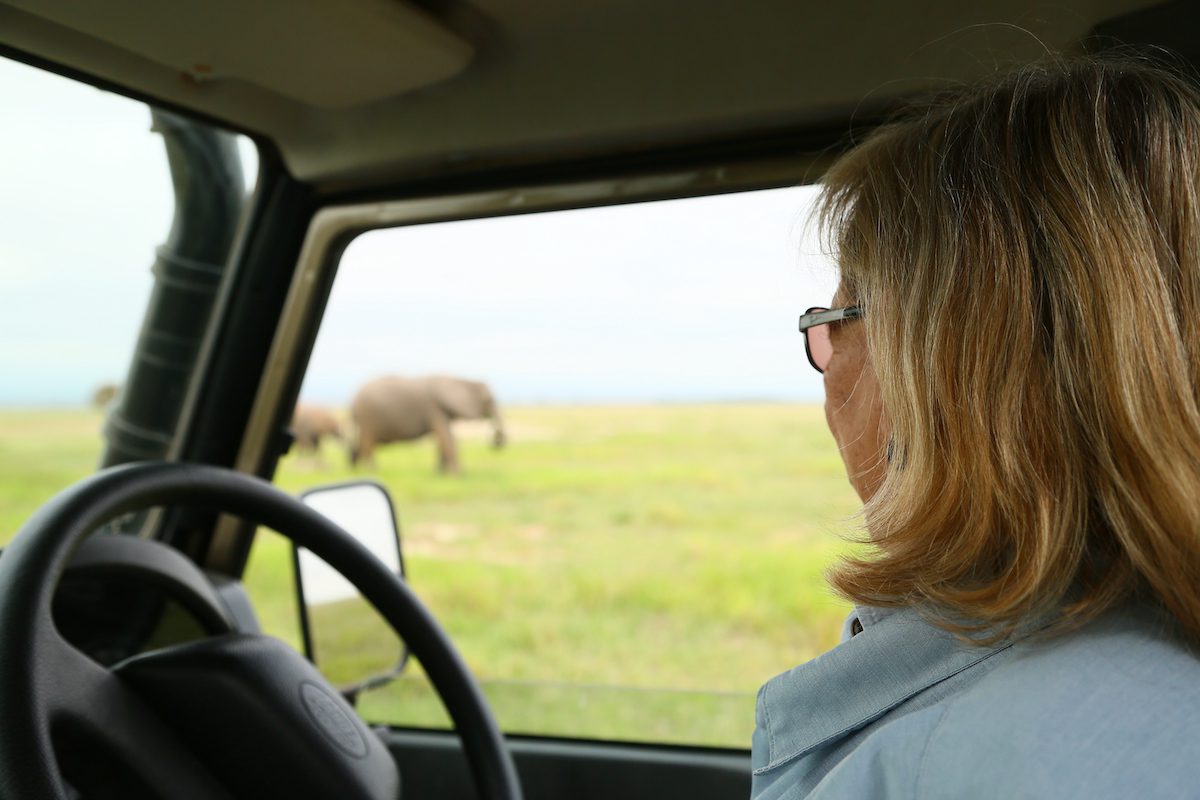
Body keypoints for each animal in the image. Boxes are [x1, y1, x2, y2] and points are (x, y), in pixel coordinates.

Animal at [350, 376, 511, 474]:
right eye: (489, 400)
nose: (495, 442)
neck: (459, 379)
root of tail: (353, 400)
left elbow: (442, 439)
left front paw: (440, 474)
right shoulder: (434, 408)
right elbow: (448, 437)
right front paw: (458, 474)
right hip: (368, 417)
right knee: (367, 442)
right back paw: (372, 470)